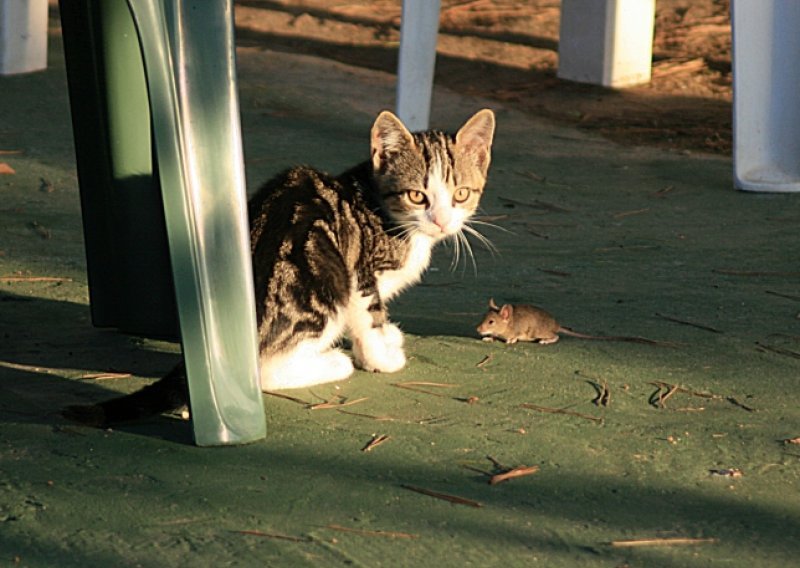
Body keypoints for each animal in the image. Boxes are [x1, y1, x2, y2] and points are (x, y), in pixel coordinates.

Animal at [64, 108, 494, 424]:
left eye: (461, 194)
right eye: (417, 195)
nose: (441, 221)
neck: (379, 206)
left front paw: (387, 338)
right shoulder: (360, 272)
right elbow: (368, 315)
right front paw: (381, 355)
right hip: (326, 279)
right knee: (266, 368)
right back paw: (332, 362)